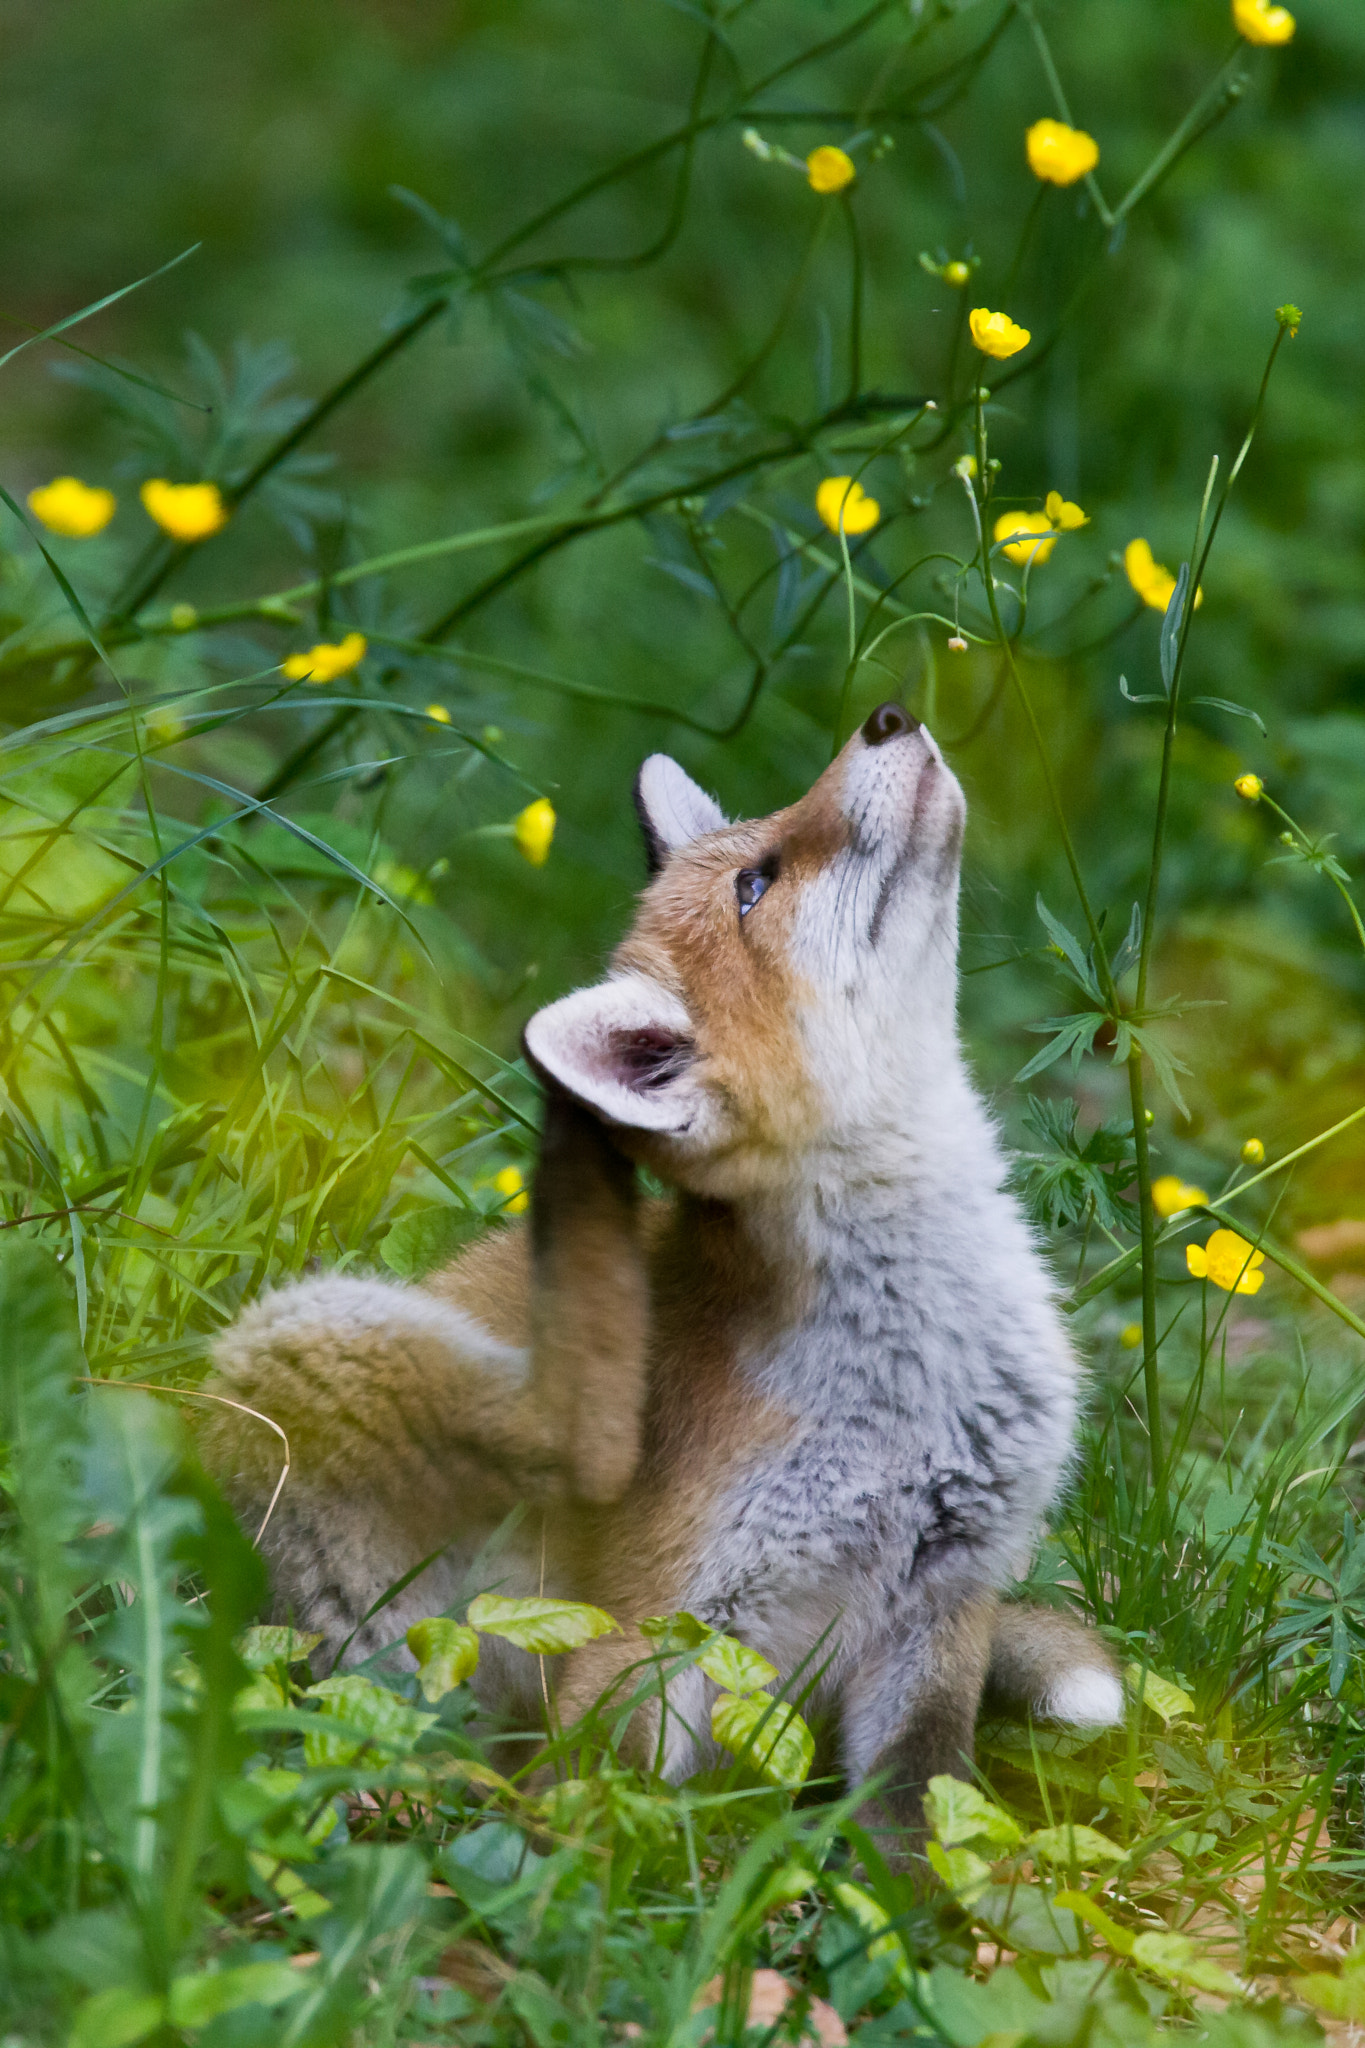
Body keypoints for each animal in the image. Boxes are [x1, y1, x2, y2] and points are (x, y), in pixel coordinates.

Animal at [200, 700, 1122, 1852]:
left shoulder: (939, 1609)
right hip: (318, 1342)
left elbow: (918, 1833)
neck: (908, 1379)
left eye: (765, 840)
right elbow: (602, 1814)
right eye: (755, 885)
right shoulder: (655, 1625)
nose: (888, 714)